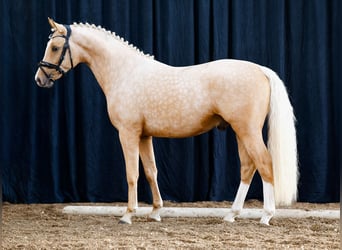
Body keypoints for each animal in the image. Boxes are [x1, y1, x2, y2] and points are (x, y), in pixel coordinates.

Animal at [33, 17, 298, 225]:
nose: (39, 79)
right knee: (247, 167)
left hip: (247, 131)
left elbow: (132, 173)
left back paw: (266, 215)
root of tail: (261, 70)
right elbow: (151, 172)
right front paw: (156, 212)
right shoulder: (144, 135)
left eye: (55, 47)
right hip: (240, 131)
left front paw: (128, 214)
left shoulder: (128, 133)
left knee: (264, 163)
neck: (125, 72)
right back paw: (231, 214)